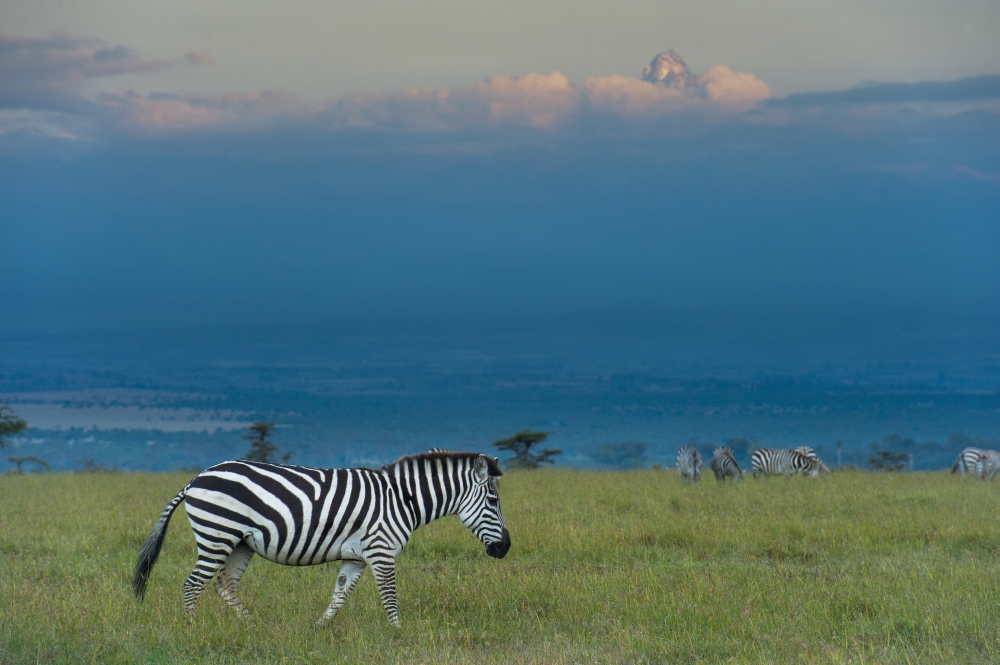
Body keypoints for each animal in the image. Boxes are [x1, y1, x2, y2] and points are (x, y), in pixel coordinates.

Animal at [132, 451, 510, 627]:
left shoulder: (356, 557)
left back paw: (252, 626)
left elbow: (339, 596)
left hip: (240, 543)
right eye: (493, 501)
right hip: (217, 535)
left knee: (225, 586)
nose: (505, 548)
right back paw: (192, 627)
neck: (402, 499)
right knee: (193, 584)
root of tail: (196, 479)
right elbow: (390, 597)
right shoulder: (381, 551)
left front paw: (318, 629)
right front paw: (399, 633)